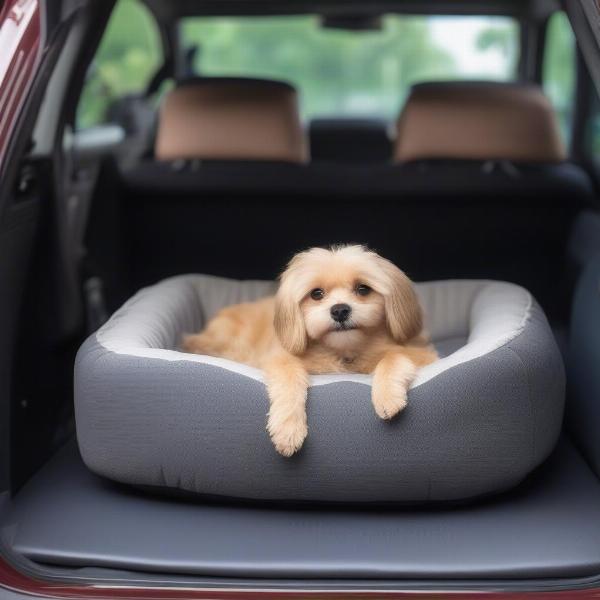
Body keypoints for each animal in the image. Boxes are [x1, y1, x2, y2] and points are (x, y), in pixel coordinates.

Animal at [180, 246, 438, 458]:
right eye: (316, 294)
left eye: (363, 289)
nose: (340, 310)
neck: (343, 350)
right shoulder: (280, 358)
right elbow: (290, 377)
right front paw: (288, 430)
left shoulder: (420, 352)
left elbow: (392, 356)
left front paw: (387, 396)